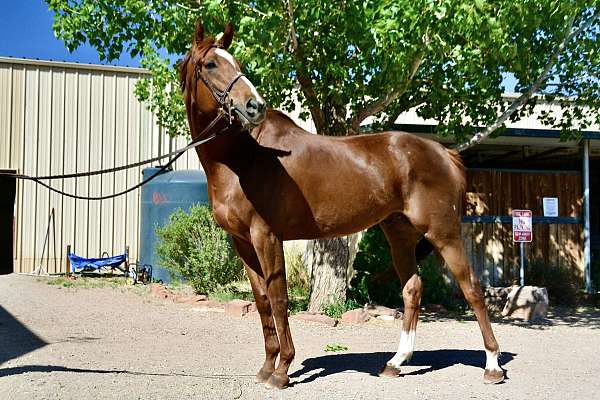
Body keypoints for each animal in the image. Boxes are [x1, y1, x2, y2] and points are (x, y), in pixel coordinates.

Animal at [180, 21, 504, 388]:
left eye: (236, 62)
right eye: (211, 64)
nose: (254, 106)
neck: (243, 160)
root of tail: (444, 153)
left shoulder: (267, 236)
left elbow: (278, 298)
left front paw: (282, 370)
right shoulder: (242, 242)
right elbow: (262, 301)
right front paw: (266, 366)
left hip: (443, 232)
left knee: (472, 288)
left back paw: (492, 365)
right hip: (399, 235)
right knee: (412, 289)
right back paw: (395, 362)